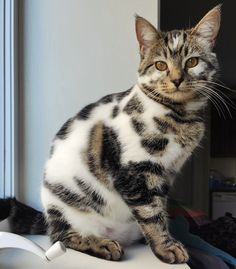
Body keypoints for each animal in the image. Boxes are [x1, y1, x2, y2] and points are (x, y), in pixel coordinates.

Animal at [39, 5, 221, 262]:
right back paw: (103, 245)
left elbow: (159, 208)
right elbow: (150, 212)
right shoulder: (135, 172)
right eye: (160, 65)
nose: (176, 79)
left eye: (193, 61)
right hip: (65, 209)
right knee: (62, 238)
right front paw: (166, 247)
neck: (180, 116)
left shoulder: (165, 175)